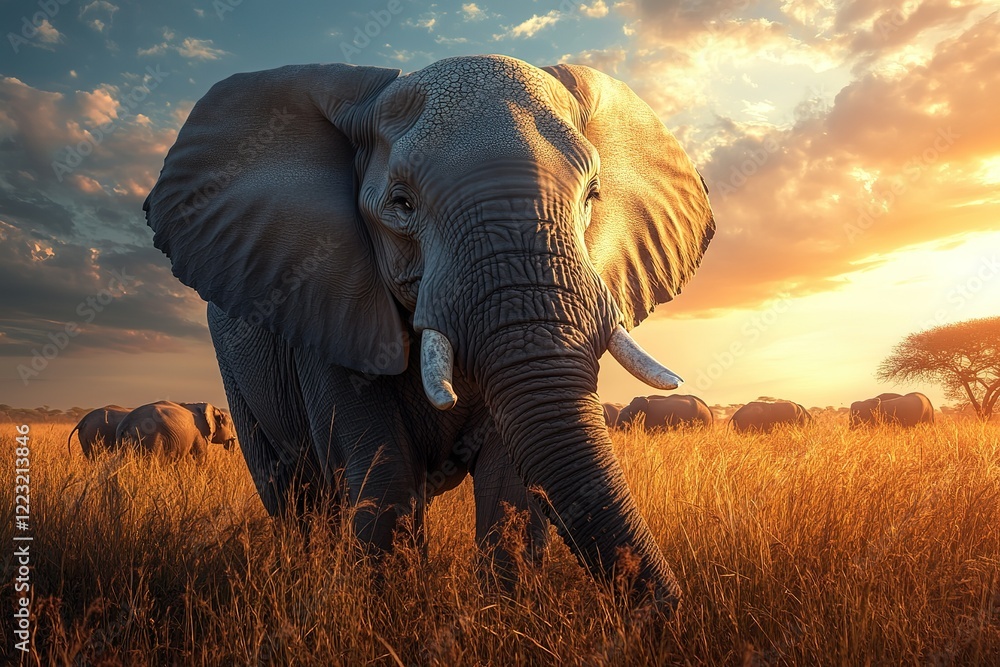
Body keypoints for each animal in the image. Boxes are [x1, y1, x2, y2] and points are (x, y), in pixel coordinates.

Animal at [143, 55, 715, 614]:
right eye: (401, 204)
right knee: (294, 495)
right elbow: (385, 475)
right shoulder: (325, 299)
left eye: (593, 196)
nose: (666, 614)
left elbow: (509, 485)